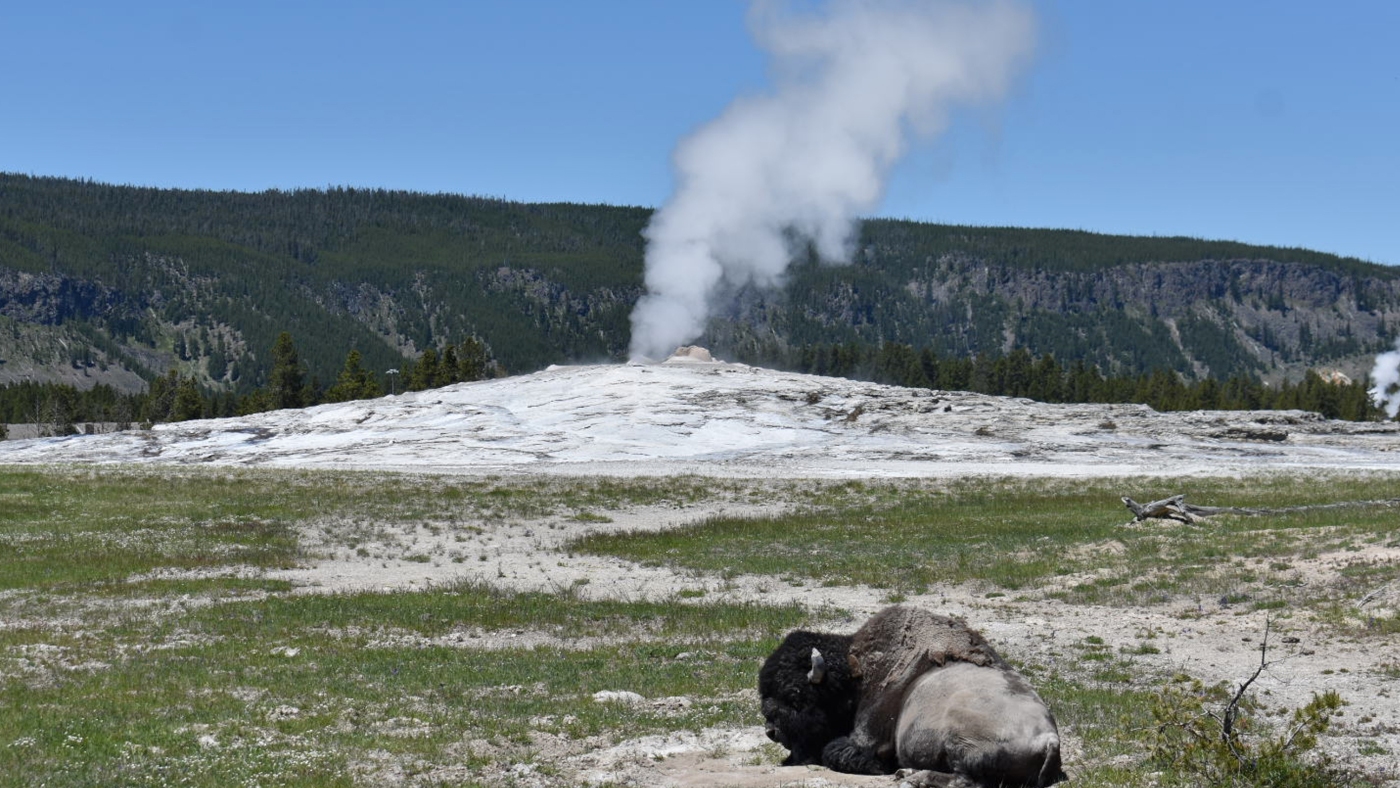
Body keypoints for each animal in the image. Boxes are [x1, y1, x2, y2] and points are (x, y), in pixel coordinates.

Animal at [761, 607, 1064, 783]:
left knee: (964, 780)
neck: (855, 674)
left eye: (795, 696)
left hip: (962, 741)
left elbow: (837, 751)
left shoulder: (866, 737)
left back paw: (909, 776)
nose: (772, 731)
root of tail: (1050, 739)